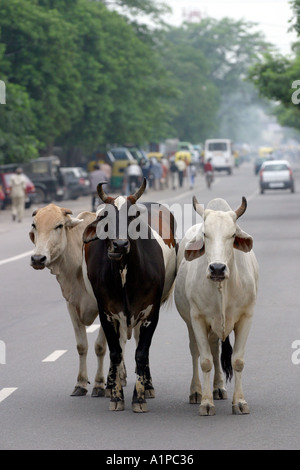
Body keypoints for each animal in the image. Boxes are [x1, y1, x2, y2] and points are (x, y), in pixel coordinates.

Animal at [28, 204, 109, 398]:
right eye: (34, 225)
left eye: (59, 225)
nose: (37, 258)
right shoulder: (71, 304)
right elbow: (82, 346)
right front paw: (81, 383)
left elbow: (100, 346)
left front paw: (99, 384)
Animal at [82, 178, 177, 414]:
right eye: (104, 217)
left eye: (133, 216)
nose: (120, 244)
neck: (124, 272)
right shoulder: (106, 312)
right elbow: (115, 352)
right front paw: (116, 395)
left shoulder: (151, 312)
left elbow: (142, 352)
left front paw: (139, 397)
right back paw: (111, 383)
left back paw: (148, 385)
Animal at [175, 197, 258, 414]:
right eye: (205, 234)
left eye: (232, 234)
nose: (217, 268)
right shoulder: (197, 319)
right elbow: (205, 361)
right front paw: (206, 402)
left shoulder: (246, 317)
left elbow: (237, 360)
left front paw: (240, 402)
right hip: (191, 323)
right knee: (197, 351)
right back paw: (196, 391)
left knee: (215, 349)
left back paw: (219, 387)